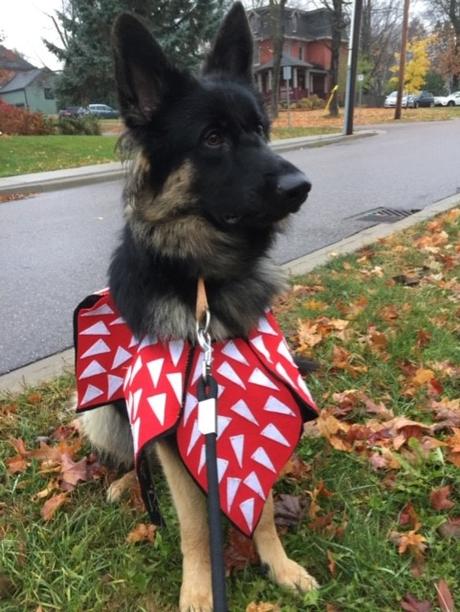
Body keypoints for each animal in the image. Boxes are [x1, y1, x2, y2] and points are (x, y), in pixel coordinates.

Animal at [81, 2, 318, 608]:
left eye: (259, 130)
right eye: (212, 138)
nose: (301, 187)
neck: (204, 284)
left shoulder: (249, 415)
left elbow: (261, 506)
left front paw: (279, 564)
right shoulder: (168, 425)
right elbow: (191, 520)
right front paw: (197, 589)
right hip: (101, 413)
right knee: (133, 454)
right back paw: (124, 484)